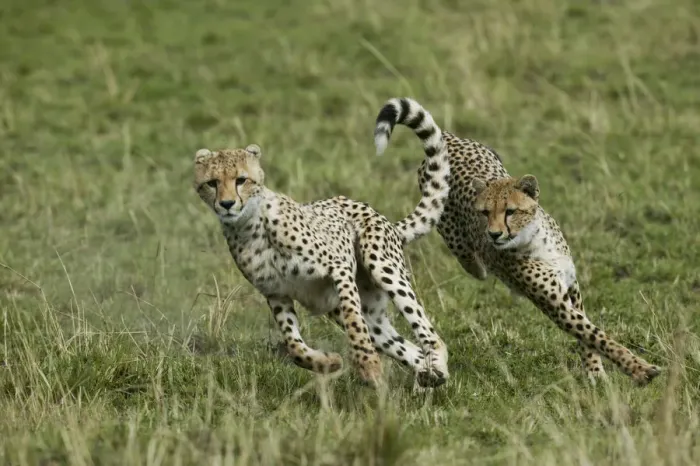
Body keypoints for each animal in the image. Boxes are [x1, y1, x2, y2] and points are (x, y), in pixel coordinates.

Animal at [193, 113, 451, 388]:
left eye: (241, 180)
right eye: (212, 183)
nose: (227, 204)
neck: (250, 227)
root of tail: (385, 219)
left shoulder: (340, 269)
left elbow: (354, 322)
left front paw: (368, 366)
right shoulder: (276, 292)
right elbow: (294, 346)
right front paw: (328, 362)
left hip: (382, 266)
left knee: (429, 334)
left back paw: (435, 364)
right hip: (367, 313)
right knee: (408, 348)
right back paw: (430, 374)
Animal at [373, 97, 661, 386]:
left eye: (510, 211)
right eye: (484, 213)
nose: (493, 234)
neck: (535, 239)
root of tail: (451, 138)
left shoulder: (571, 286)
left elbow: (589, 337)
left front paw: (595, 372)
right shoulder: (555, 303)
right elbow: (595, 336)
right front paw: (638, 369)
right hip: (453, 235)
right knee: (469, 259)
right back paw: (479, 266)